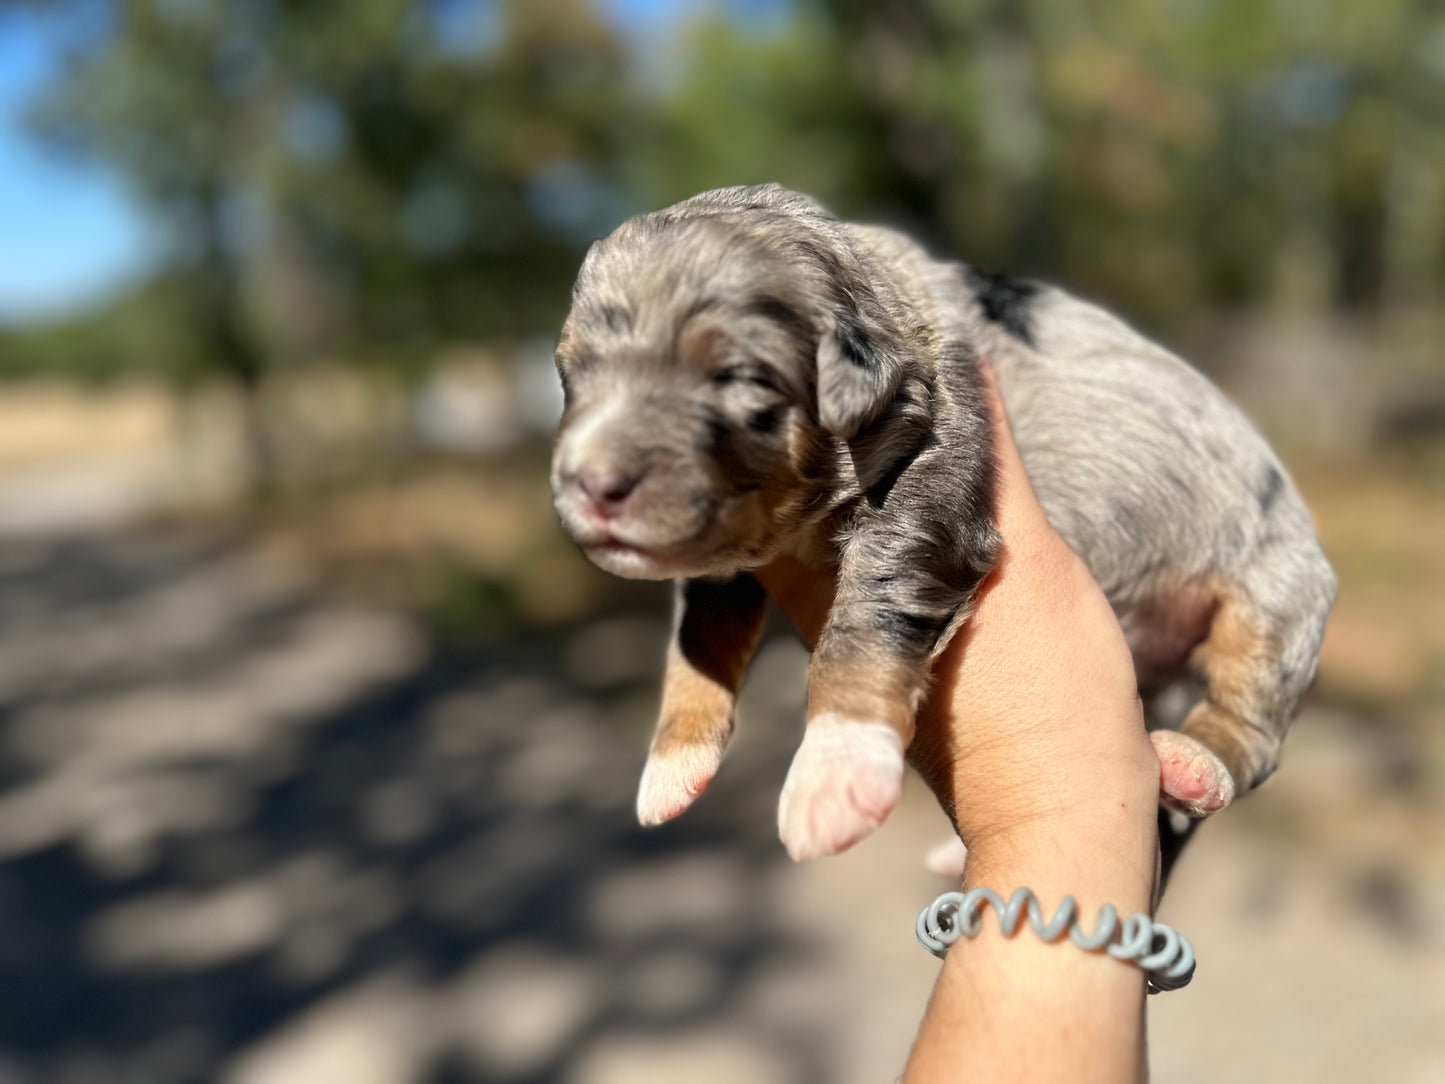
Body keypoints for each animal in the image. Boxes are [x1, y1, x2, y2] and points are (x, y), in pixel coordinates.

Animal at [546, 185, 1335, 867]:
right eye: (573, 376)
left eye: (740, 380)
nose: (588, 482)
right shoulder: (728, 548)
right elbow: (698, 632)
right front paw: (672, 763)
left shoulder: (935, 460)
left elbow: (865, 616)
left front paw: (834, 774)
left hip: (1275, 599)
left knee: (1252, 724)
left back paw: (1197, 761)